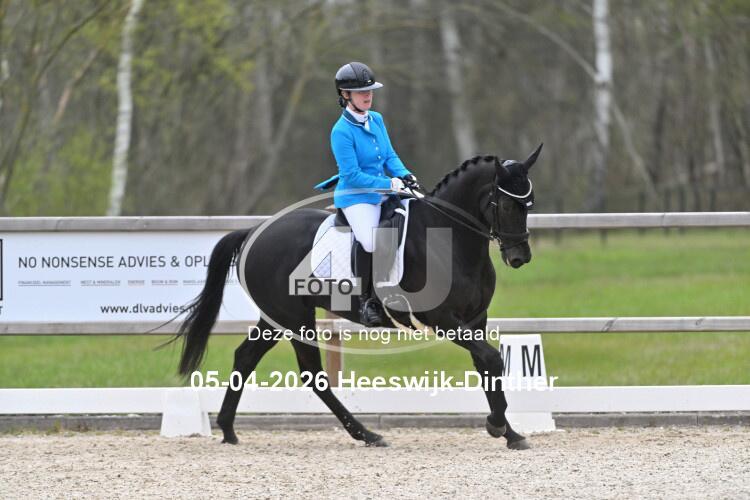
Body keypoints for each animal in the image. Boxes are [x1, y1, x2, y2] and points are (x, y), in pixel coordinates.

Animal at [174, 144, 542, 450]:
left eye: (529, 203)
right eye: (505, 203)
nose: (520, 257)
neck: (448, 240)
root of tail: (254, 232)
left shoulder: (476, 320)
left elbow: (487, 367)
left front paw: (510, 433)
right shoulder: (443, 320)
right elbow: (492, 360)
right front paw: (497, 425)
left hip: (276, 318)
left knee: (247, 357)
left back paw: (228, 429)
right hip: (293, 318)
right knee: (312, 374)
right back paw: (367, 434)